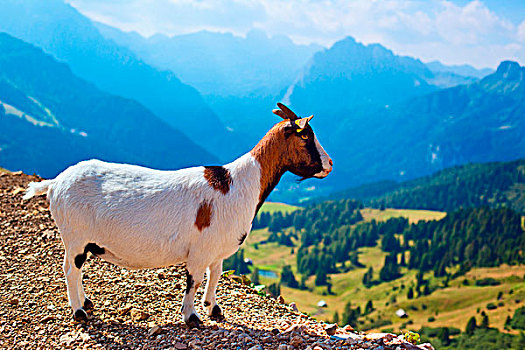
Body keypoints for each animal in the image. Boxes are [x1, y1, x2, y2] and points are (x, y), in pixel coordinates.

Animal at [23, 102, 332, 326]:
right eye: (306, 136)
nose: (329, 164)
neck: (238, 183)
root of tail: (55, 183)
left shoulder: (216, 250)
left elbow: (215, 275)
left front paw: (214, 308)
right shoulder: (200, 250)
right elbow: (194, 281)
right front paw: (192, 317)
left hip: (82, 240)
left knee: (76, 270)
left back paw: (86, 303)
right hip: (74, 236)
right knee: (70, 269)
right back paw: (79, 312)